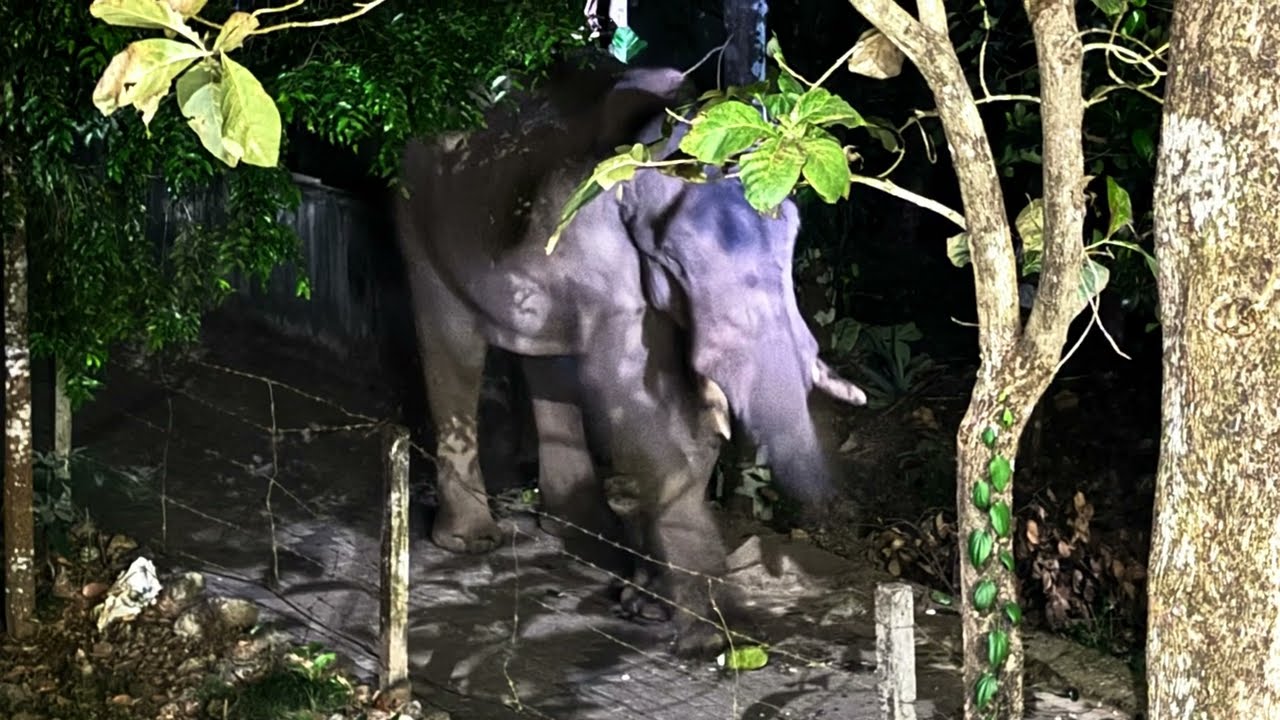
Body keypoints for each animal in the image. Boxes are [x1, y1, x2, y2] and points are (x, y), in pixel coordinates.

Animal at [393, 56, 866, 654]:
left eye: (794, 242)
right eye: (675, 261)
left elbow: (684, 419)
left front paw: (647, 603)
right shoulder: (598, 253)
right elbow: (636, 400)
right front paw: (713, 632)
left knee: (545, 361)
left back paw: (580, 534)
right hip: (419, 217)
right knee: (453, 343)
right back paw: (472, 541)